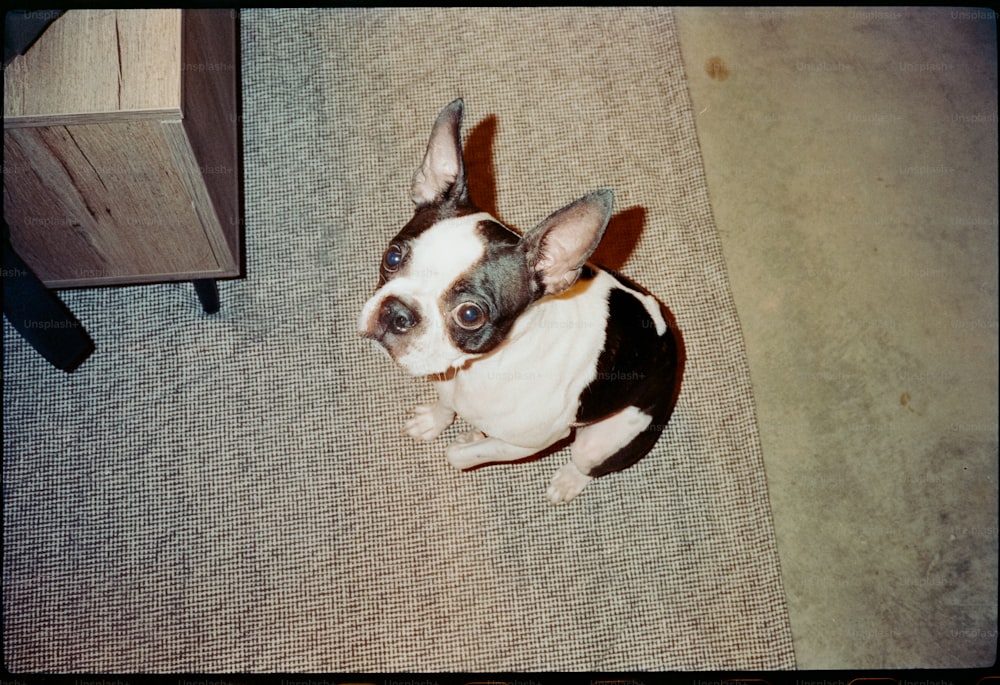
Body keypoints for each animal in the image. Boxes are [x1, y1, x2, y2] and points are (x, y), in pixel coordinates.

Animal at [356, 99, 684, 502]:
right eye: (392, 257)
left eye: (470, 314)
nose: (397, 311)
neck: (481, 366)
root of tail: (669, 341)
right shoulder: (448, 379)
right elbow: (447, 403)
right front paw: (436, 420)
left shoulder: (529, 443)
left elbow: (460, 455)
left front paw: (466, 439)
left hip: (608, 437)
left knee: (587, 462)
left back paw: (567, 481)